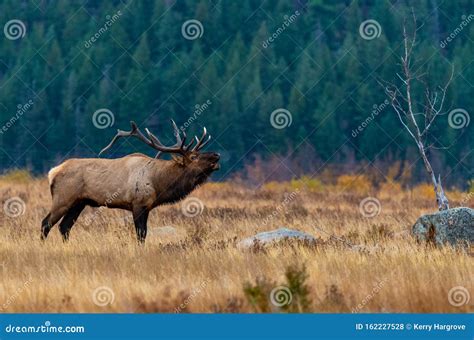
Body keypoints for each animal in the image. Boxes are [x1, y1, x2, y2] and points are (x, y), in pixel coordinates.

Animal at [41, 119, 219, 242]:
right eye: (193, 157)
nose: (217, 155)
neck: (158, 183)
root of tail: (52, 172)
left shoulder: (147, 207)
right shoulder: (138, 204)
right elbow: (141, 235)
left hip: (79, 202)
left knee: (64, 227)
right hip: (63, 198)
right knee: (46, 223)